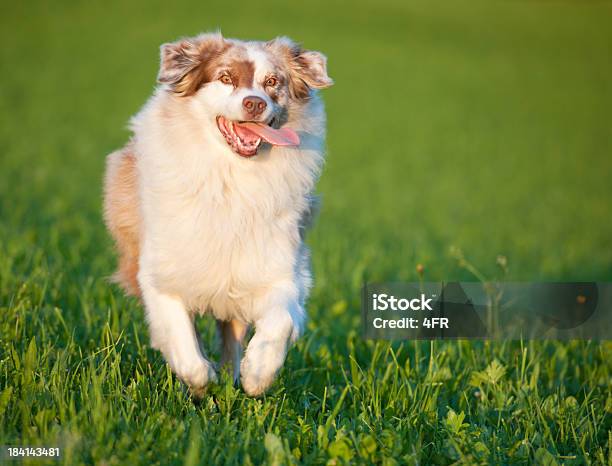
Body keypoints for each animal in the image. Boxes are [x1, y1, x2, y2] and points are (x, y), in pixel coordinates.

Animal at [104, 32, 334, 396]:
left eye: (272, 82)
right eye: (226, 78)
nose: (254, 103)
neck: (232, 179)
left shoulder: (279, 269)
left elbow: (280, 322)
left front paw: (257, 374)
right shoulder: (161, 275)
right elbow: (183, 342)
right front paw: (201, 383)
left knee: (232, 337)